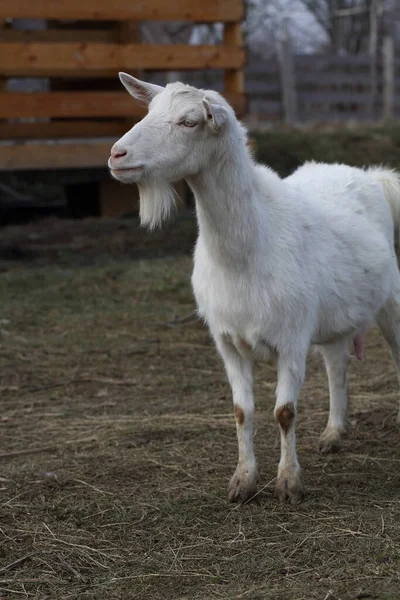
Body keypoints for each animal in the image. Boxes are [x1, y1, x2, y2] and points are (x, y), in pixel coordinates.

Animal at [109, 75, 400, 504]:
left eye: (189, 121)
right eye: (149, 111)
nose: (117, 154)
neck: (247, 249)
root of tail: (370, 175)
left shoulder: (292, 338)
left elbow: (284, 412)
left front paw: (289, 483)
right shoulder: (227, 341)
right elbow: (241, 411)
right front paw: (242, 481)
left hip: (391, 301)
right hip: (333, 314)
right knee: (337, 365)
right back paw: (333, 433)